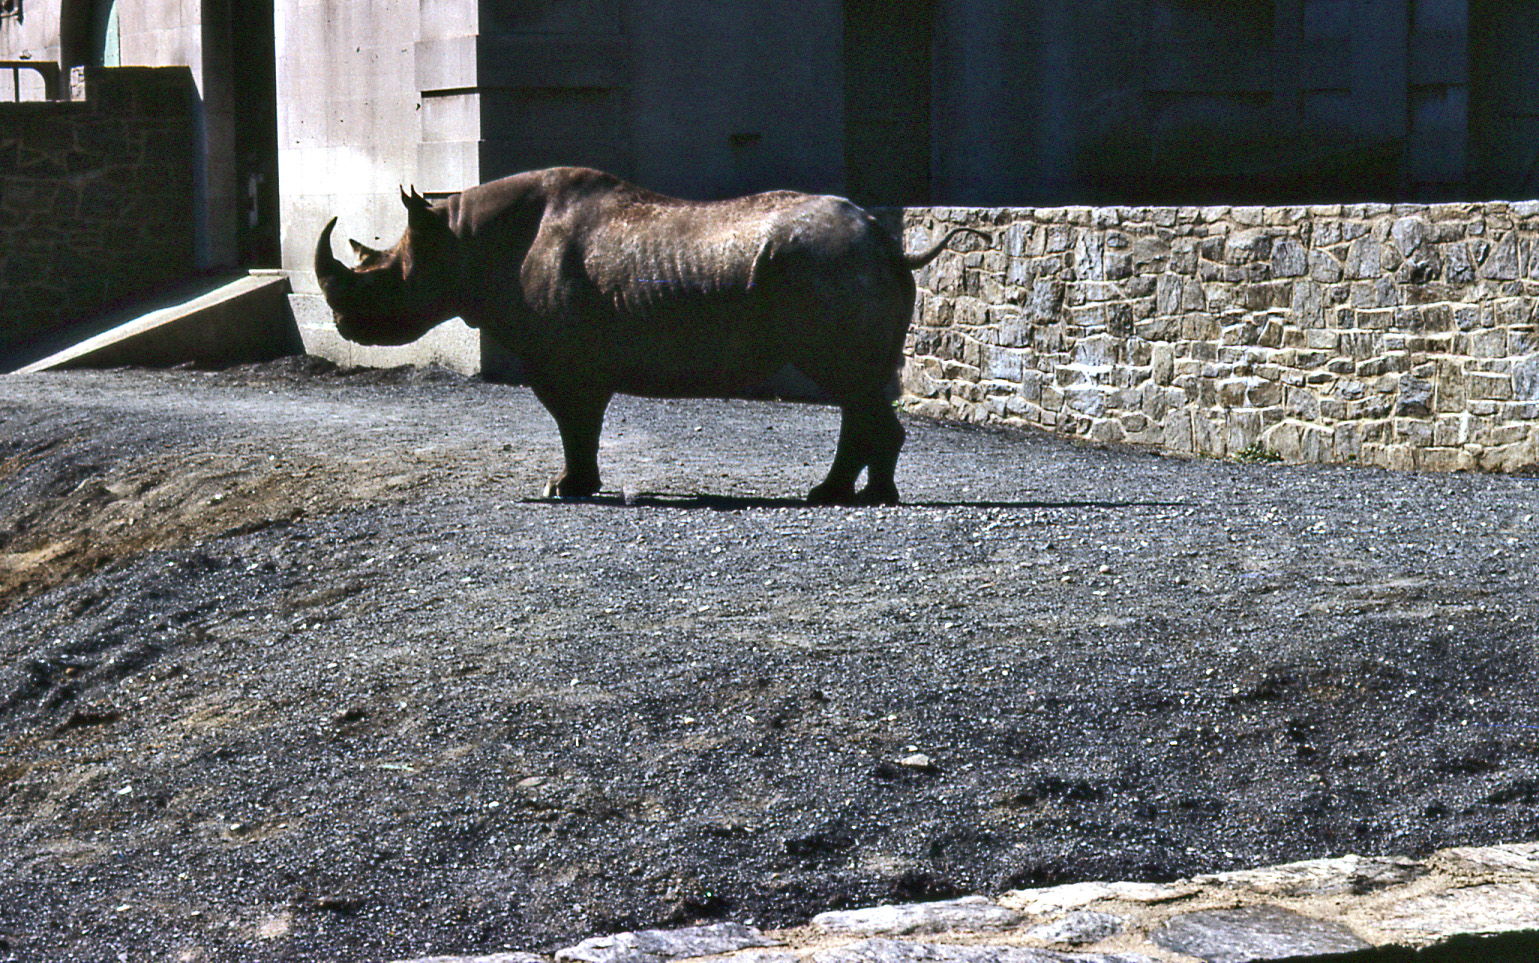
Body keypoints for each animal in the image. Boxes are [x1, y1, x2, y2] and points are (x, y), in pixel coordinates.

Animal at [313, 167, 985, 505]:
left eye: (384, 279)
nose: (345, 325)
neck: (461, 239)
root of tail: (885, 242)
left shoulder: (562, 357)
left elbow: (574, 423)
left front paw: (564, 489)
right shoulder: (570, 356)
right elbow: (578, 424)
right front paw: (573, 486)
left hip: (828, 266)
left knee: (850, 382)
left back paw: (861, 498)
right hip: (839, 266)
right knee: (856, 387)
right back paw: (840, 494)